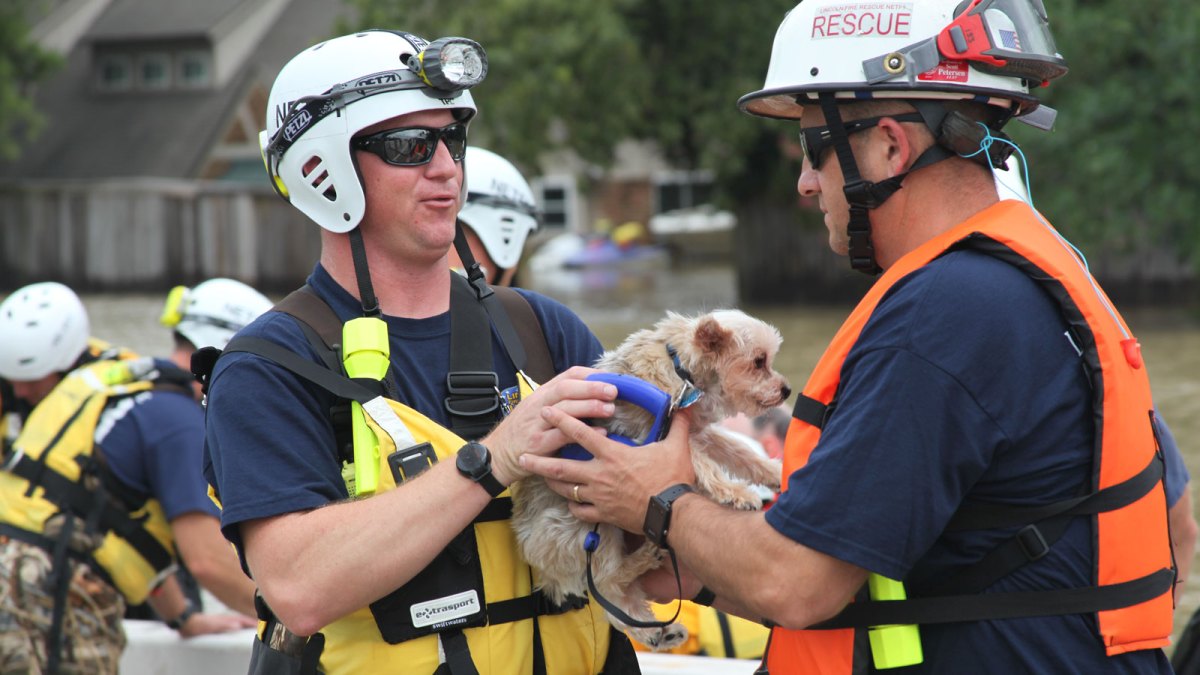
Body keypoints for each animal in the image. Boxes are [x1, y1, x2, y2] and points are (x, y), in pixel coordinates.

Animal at [511, 309, 792, 648]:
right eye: (759, 361)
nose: (787, 390)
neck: (683, 369)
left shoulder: (699, 431)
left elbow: (740, 453)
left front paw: (774, 473)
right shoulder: (665, 436)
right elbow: (703, 464)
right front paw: (734, 492)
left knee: (615, 597)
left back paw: (656, 631)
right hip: (584, 525)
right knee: (607, 578)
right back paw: (645, 559)